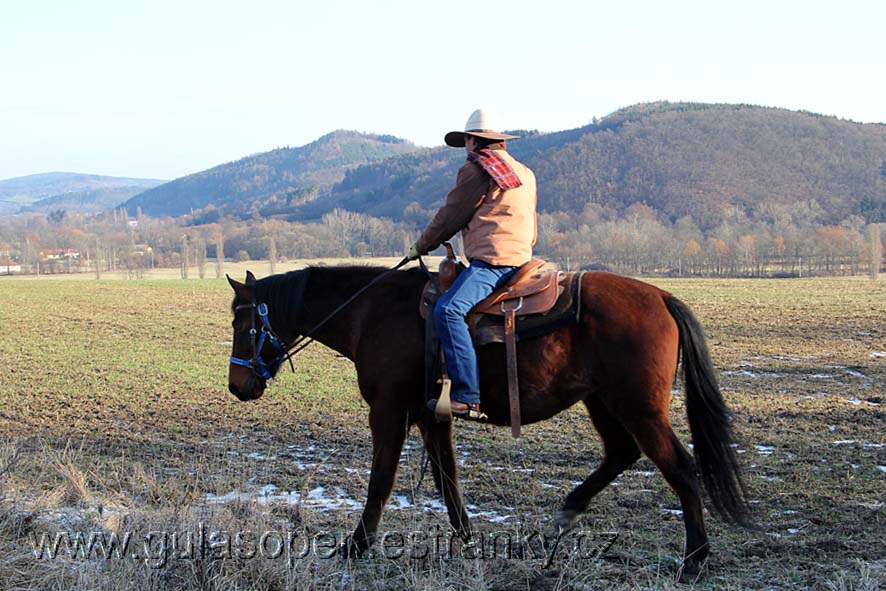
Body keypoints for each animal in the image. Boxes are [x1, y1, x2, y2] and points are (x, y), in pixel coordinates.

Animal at [224, 266, 748, 576]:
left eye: (242, 324)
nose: (237, 385)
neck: (372, 312)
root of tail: (660, 295)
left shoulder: (389, 411)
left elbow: (381, 480)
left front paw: (356, 546)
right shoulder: (431, 416)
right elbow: (448, 478)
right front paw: (469, 540)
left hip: (638, 407)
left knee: (680, 469)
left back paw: (694, 561)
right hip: (603, 402)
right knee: (621, 453)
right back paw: (569, 509)